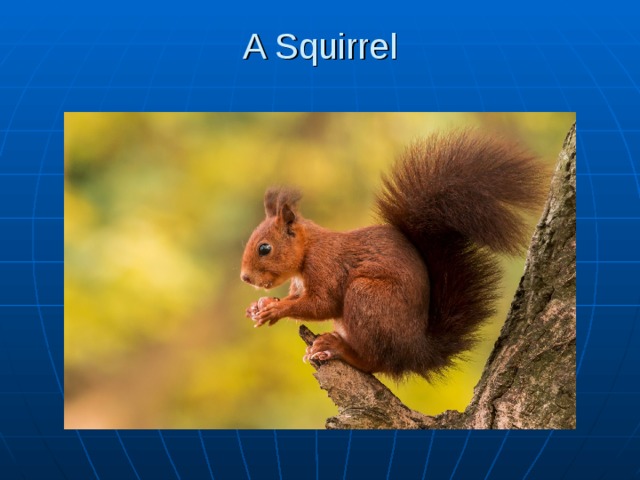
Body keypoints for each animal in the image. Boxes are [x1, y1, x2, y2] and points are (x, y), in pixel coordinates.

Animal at [240, 130, 547, 380]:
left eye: (264, 248)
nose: (245, 278)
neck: (308, 250)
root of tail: (414, 351)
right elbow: (297, 298)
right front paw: (261, 305)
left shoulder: (326, 267)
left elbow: (321, 304)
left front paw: (275, 309)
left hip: (368, 297)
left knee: (375, 362)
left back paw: (338, 348)